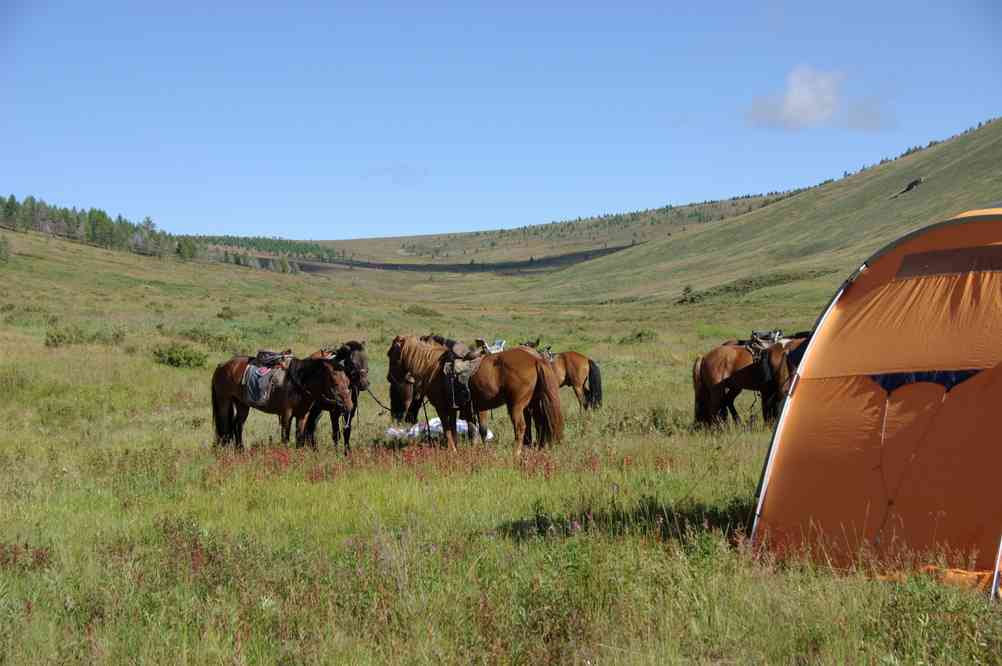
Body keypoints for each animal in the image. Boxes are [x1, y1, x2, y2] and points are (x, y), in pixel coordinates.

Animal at [209, 356, 354, 448]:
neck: (298, 382)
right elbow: (285, 437)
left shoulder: (302, 415)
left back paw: (240, 451)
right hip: (224, 401)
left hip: (242, 404)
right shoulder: (286, 414)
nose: (349, 405)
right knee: (224, 426)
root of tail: (221, 365)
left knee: (237, 426)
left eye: (348, 381)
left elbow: (299, 438)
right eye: (335, 383)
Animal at [384, 334, 565, 454]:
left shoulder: (443, 408)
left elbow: (448, 430)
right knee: (540, 423)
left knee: (521, 427)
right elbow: (459, 430)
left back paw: (516, 453)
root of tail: (535, 359)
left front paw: (452, 451)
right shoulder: (457, 408)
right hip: (534, 403)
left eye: (390, 353)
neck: (433, 366)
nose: (388, 377)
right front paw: (459, 450)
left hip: (516, 405)